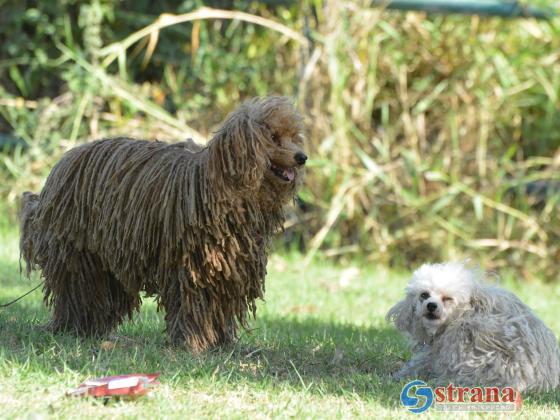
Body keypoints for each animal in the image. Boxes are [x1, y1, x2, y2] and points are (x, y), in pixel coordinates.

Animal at [19, 97, 306, 352]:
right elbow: (194, 304)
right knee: (77, 289)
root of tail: (62, 164)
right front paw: (194, 343)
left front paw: (221, 342)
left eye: (293, 135)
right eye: (273, 137)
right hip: (79, 252)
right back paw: (73, 328)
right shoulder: (192, 268)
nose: (302, 157)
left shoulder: (229, 267)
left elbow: (219, 306)